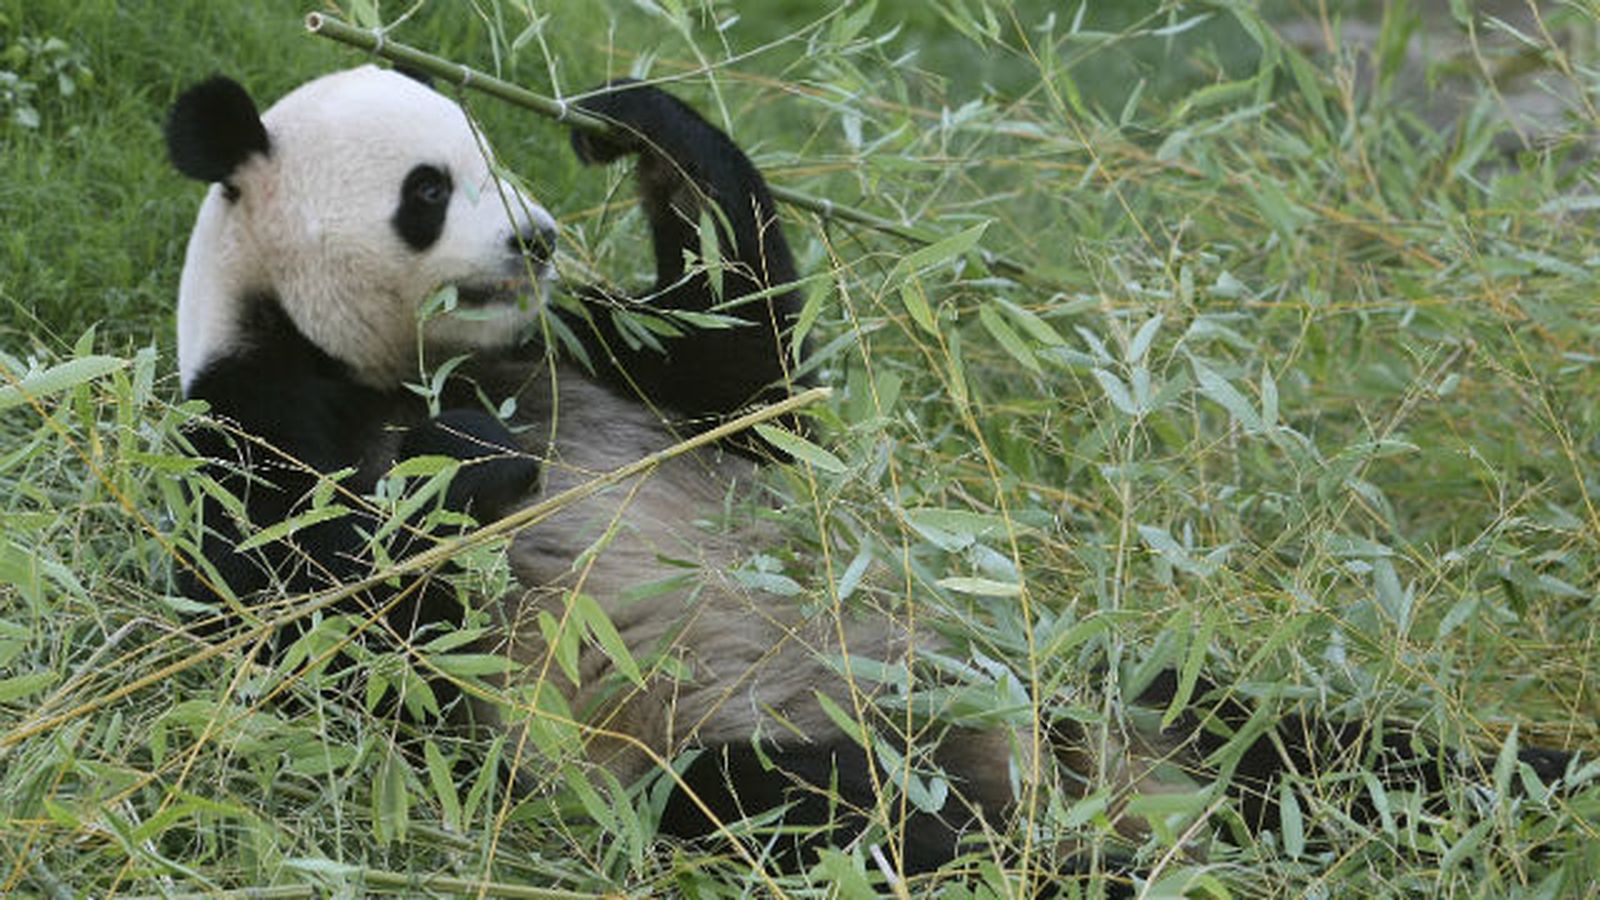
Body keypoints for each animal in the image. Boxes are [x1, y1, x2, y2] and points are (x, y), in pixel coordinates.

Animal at [165, 65, 1576, 880]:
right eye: (427, 189)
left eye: (492, 157)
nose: (538, 238)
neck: (393, 357)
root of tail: (1078, 777)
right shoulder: (256, 416)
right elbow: (309, 636)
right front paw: (460, 471)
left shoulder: (580, 351)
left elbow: (744, 369)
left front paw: (641, 129)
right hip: (720, 747)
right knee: (814, 814)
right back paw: (1056, 856)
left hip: (1107, 687)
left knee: (1330, 751)